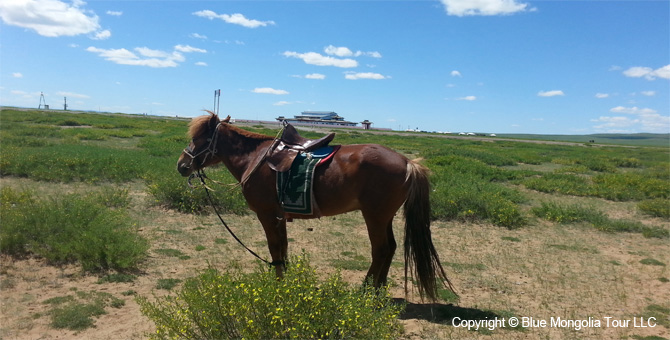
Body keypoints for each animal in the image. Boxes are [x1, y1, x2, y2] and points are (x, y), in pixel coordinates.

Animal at [177, 112, 456, 300]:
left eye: (199, 138)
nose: (182, 165)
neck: (254, 159)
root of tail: (408, 162)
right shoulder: (279, 216)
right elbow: (283, 247)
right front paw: (287, 280)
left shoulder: (267, 215)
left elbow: (274, 248)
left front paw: (278, 285)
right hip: (384, 216)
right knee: (391, 248)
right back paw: (378, 290)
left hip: (374, 216)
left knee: (381, 249)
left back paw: (365, 291)